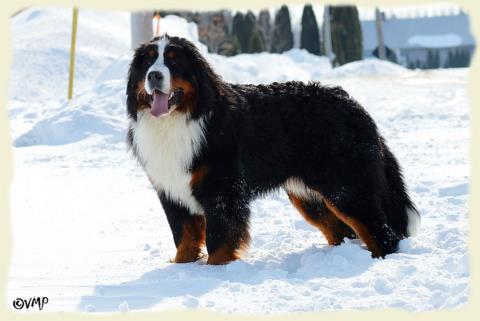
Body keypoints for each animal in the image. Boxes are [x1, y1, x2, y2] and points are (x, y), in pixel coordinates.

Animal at [126, 35, 420, 264]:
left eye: (174, 61)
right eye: (148, 62)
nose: (154, 75)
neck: (179, 120)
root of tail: (354, 106)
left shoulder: (223, 192)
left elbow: (219, 241)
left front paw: (215, 272)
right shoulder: (171, 190)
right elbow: (184, 238)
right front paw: (182, 267)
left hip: (345, 187)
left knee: (381, 233)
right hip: (310, 196)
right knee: (341, 231)